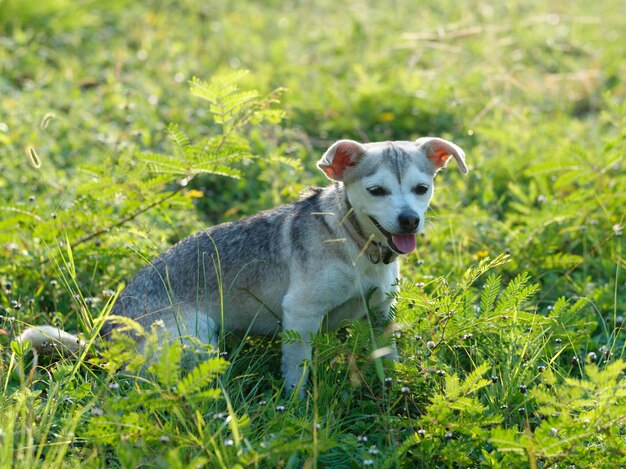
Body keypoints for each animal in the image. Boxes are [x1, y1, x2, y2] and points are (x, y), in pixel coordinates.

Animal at [17, 136, 466, 394]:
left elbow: (388, 357)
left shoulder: (380, 313)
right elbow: (296, 373)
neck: (356, 243)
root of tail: (103, 339)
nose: (409, 220)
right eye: (376, 191)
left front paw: (392, 387)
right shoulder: (300, 316)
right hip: (195, 336)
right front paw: (296, 407)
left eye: (421, 188)